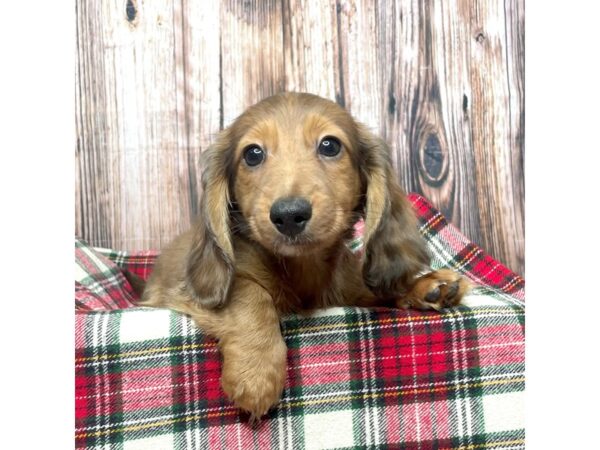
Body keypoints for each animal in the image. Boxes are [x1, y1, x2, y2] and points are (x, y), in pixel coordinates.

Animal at [139, 93, 468, 420]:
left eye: (330, 145)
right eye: (253, 154)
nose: (288, 215)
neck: (300, 268)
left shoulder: (351, 290)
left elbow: (377, 292)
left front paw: (425, 285)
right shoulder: (182, 292)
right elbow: (248, 292)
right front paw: (256, 373)